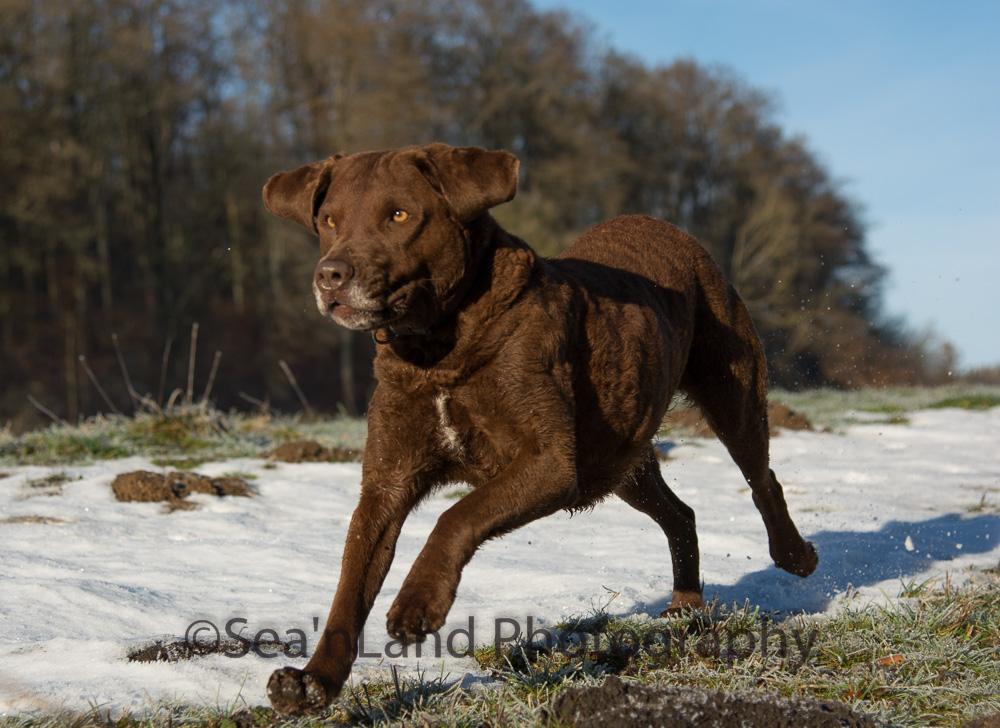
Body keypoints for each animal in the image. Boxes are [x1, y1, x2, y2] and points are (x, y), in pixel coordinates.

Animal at [262, 145, 816, 712]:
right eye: (329, 221)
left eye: (399, 215)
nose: (330, 276)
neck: (438, 352)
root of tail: (669, 227)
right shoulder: (386, 484)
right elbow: (349, 588)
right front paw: (312, 682)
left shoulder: (550, 461)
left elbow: (457, 516)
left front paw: (417, 604)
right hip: (618, 456)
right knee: (681, 514)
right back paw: (684, 607)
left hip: (729, 388)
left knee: (761, 477)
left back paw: (795, 555)